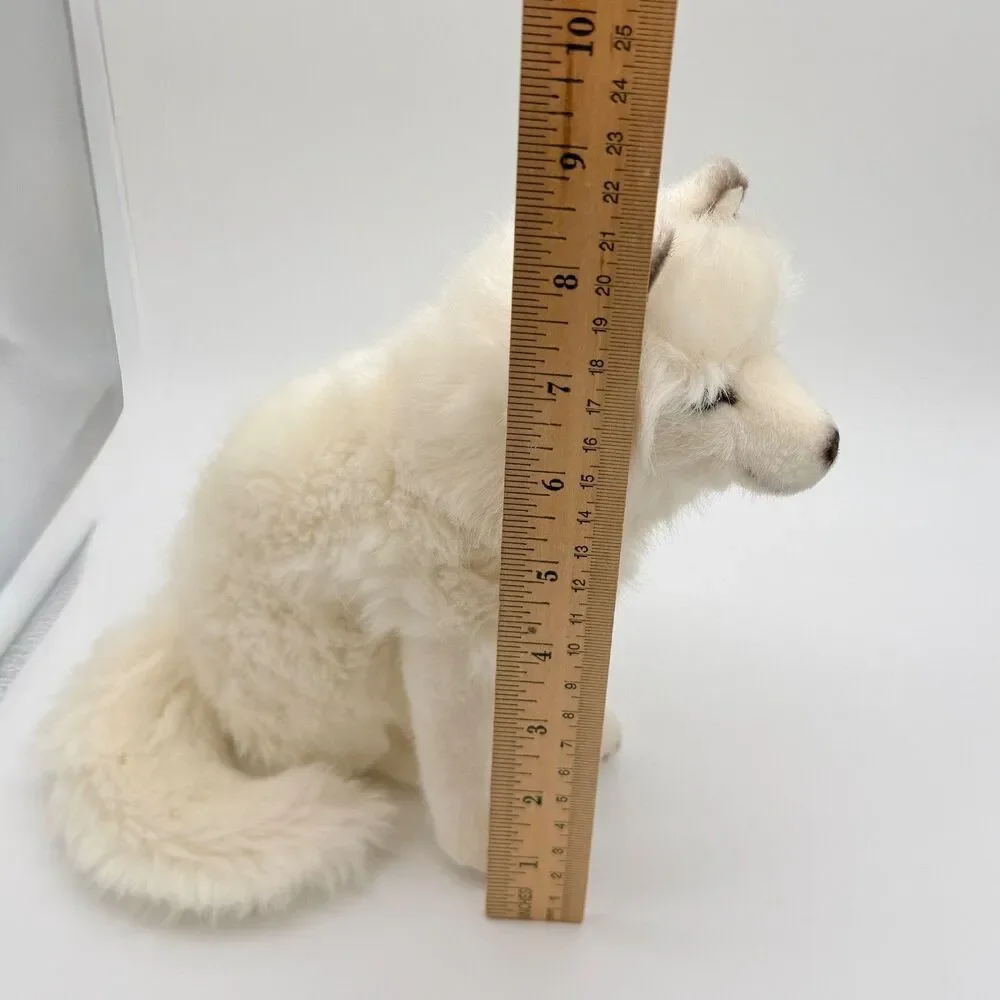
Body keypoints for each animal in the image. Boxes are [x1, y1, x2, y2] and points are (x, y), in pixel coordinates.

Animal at [35, 158, 839, 919]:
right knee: (360, 752)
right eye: (712, 398)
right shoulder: (438, 646)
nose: (833, 446)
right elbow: (456, 770)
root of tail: (180, 629)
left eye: (767, 350)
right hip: (332, 678)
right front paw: (482, 851)